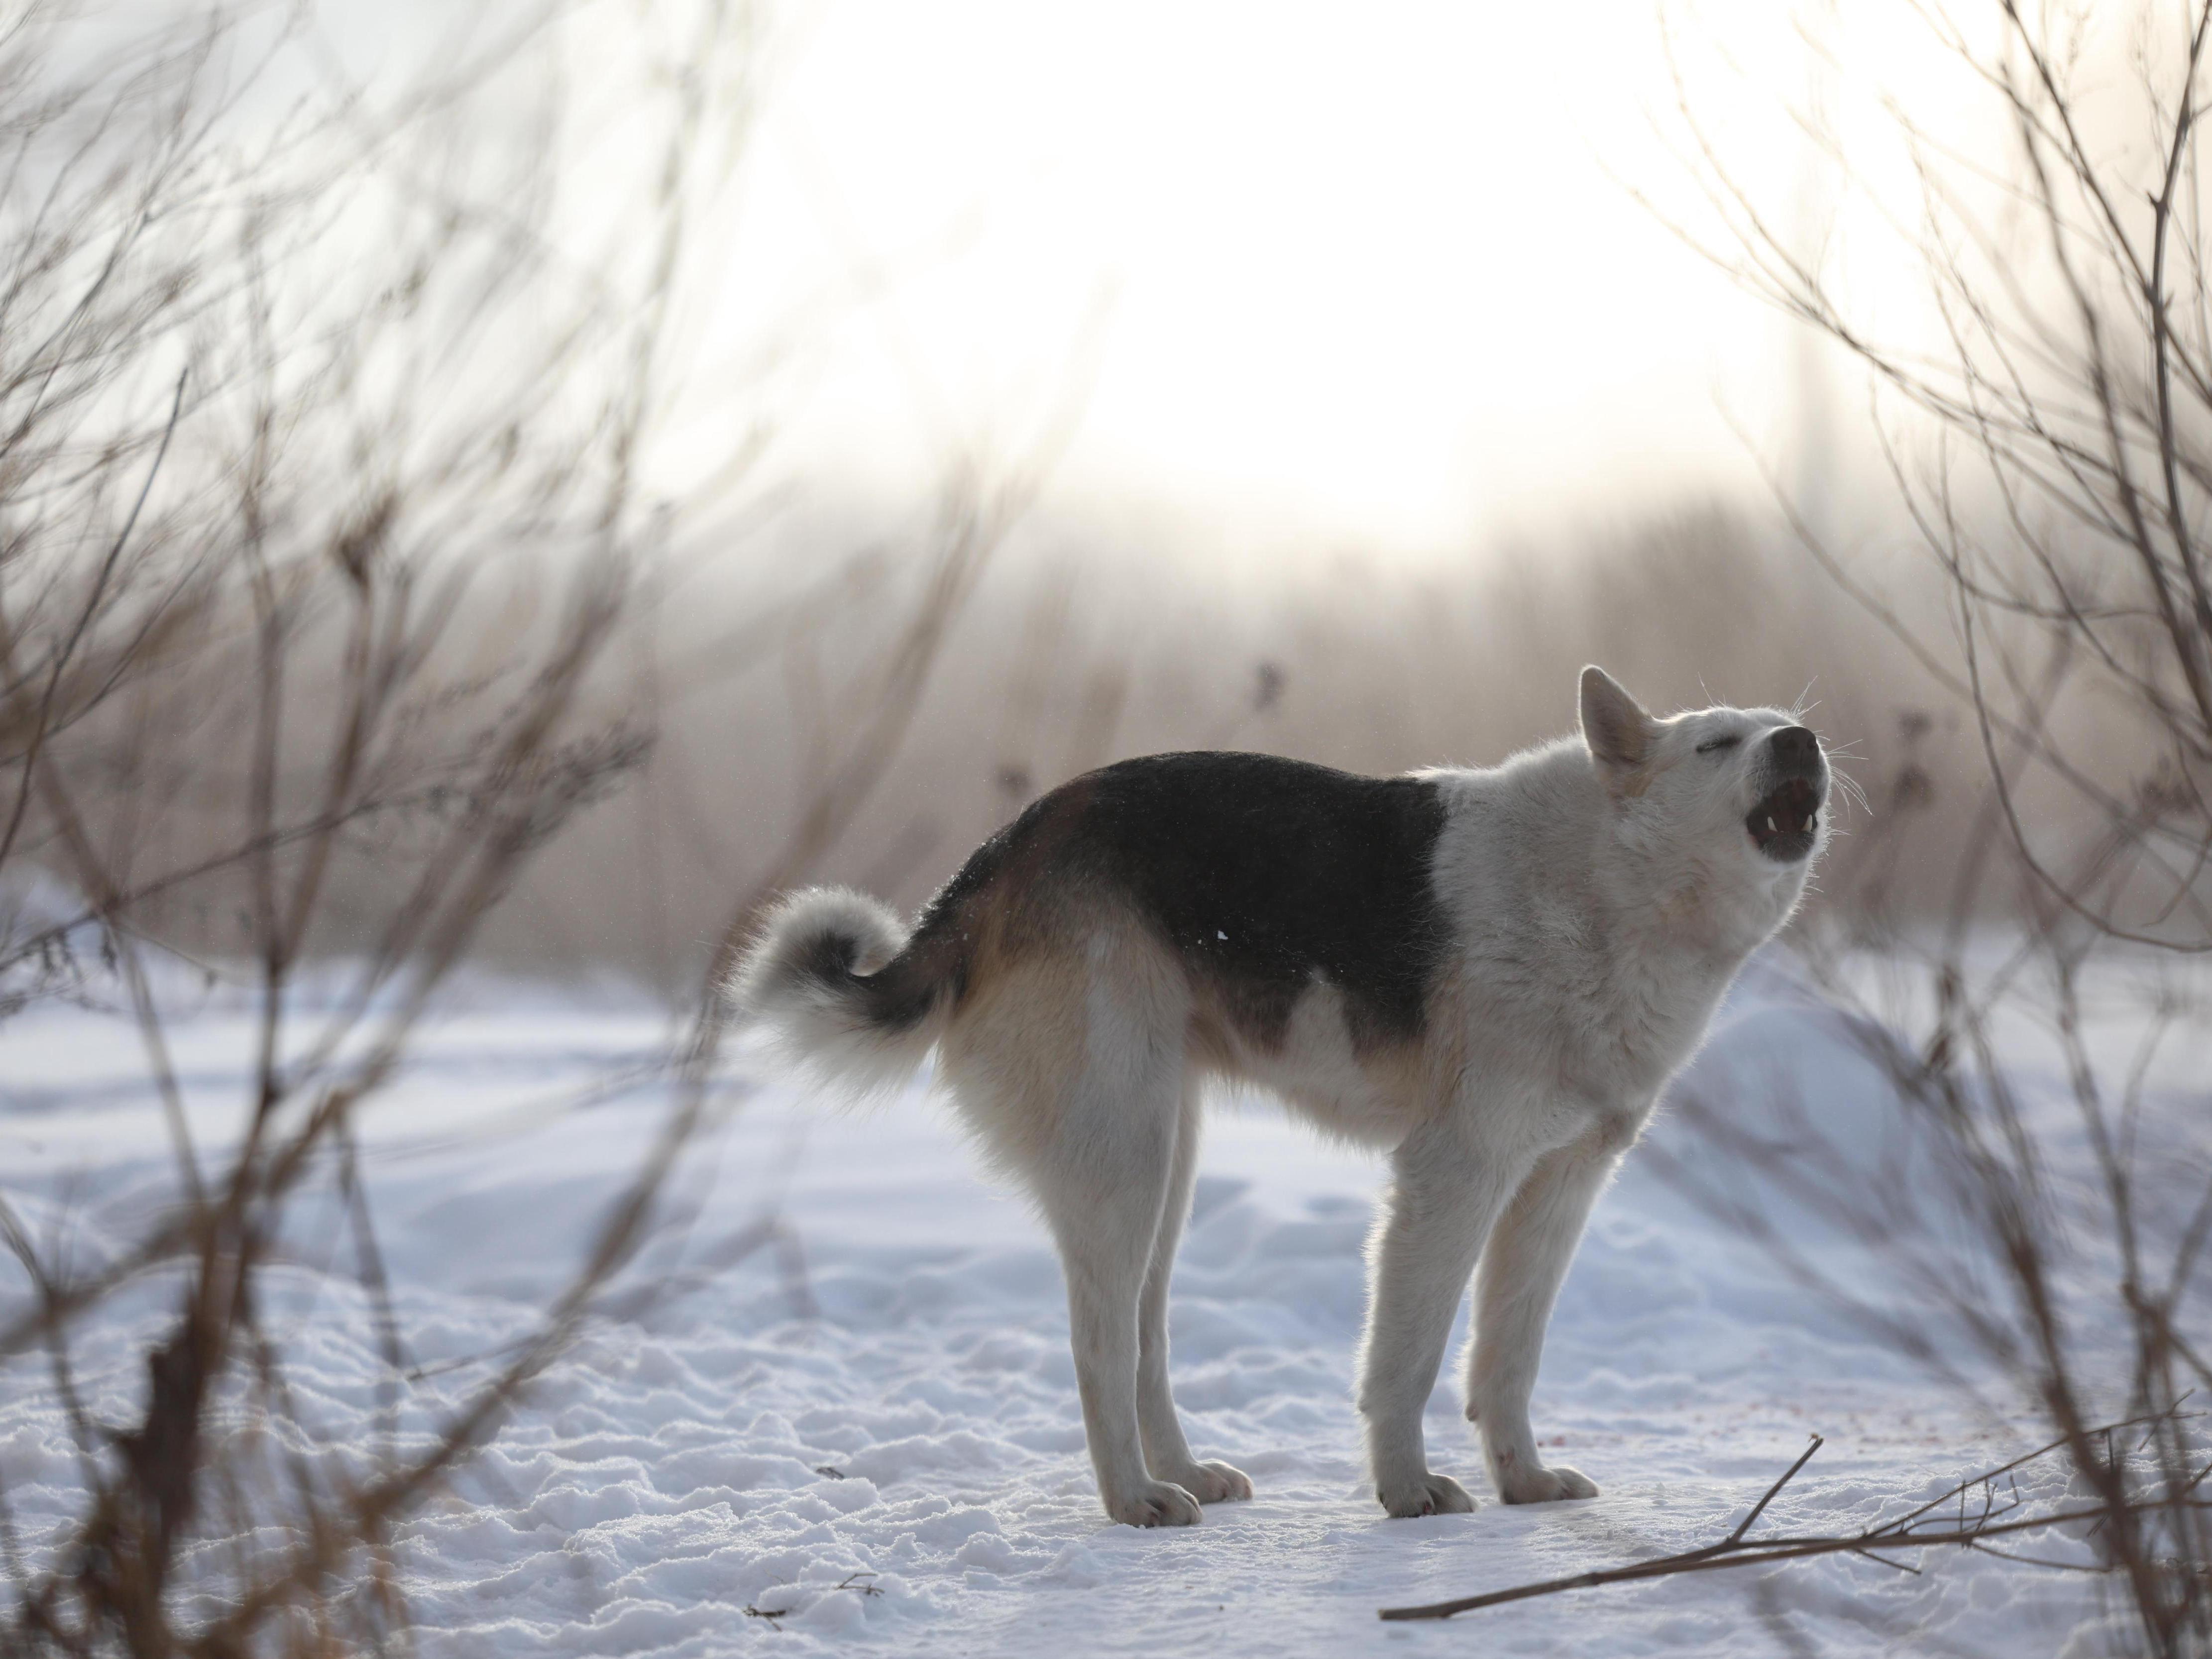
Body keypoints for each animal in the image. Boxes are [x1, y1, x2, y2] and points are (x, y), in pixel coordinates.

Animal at [730, 666, 1830, 1526]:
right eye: (1716, 742)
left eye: (1776, 723)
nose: (1802, 739)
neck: (1605, 885)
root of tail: (1003, 849)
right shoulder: (1452, 1176)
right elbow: (1407, 1359)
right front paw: (1406, 1489)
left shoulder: (1556, 1186)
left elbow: (1504, 1359)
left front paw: (1520, 1481)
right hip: (1121, 1162)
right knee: (1098, 1347)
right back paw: (1133, 1496)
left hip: (1163, 1166)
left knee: (1143, 1342)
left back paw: (1179, 1471)